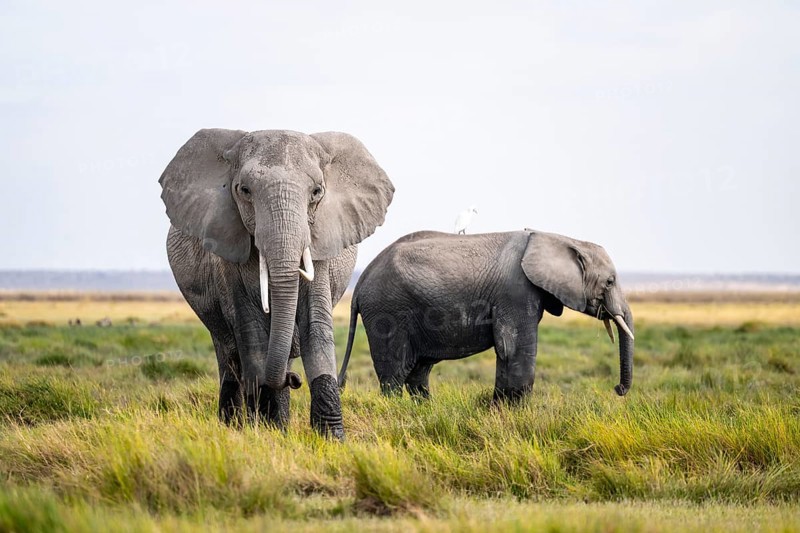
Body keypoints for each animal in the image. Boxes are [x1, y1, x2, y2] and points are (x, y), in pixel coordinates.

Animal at [159, 129, 393, 439]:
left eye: (317, 192)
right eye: (244, 191)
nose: (293, 380)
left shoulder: (319, 243)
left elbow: (315, 326)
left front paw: (330, 439)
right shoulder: (228, 251)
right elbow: (253, 331)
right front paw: (268, 433)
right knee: (231, 355)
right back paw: (236, 425)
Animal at [338, 230, 634, 401]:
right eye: (610, 282)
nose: (617, 390)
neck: (560, 238)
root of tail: (360, 282)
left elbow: (507, 352)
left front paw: (500, 409)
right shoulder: (516, 292)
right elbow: (514, 347)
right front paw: (516, 414)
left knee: (418, 371)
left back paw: (424, 410)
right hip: (387, 312)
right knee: (395, 373)